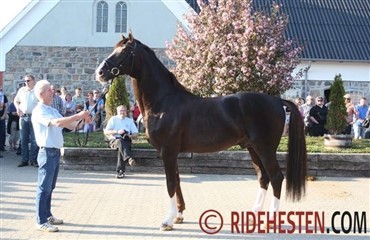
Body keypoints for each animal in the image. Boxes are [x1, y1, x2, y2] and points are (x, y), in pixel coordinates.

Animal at [95, 32, 306, 230]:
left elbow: (170, 183)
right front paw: (179, 215)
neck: (163, 103)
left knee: (276, 177)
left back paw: (271, 218)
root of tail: (277, 100)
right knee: (263, 177)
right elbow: (177, 181)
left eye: (123, 52)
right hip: (252, 148)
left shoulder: (167, 151)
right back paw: (254, 213)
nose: (100, 72)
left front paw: (167, 221)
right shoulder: (172, 153)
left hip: (265, 148)